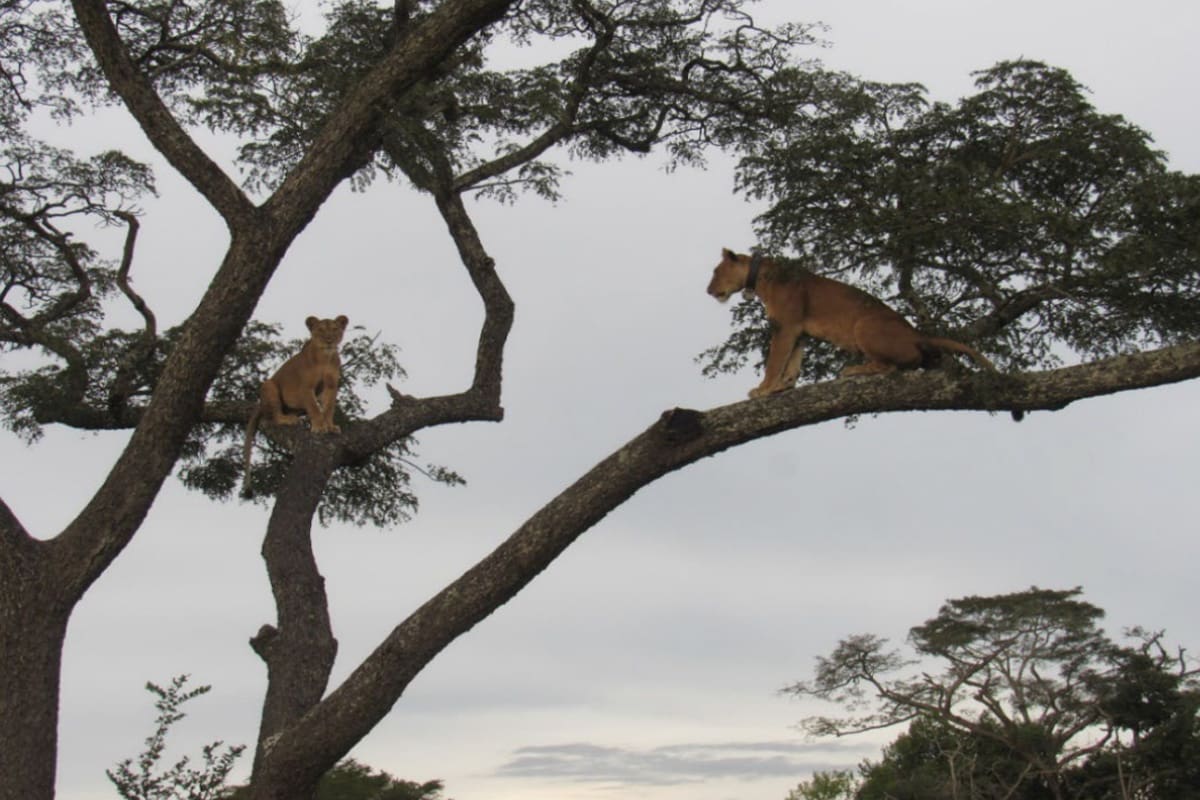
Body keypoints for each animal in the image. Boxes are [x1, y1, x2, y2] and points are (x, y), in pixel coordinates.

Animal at [241, 315, 348, 497]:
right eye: (320, 330)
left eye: (334, 330)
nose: (329, 340)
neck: (325, 357)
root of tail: (259, 403)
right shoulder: (306, 387)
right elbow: (314, 408)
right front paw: (319, 427)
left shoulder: (331, 386)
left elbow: (328, 408)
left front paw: (330, 426)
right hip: (269, 385)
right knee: (274, 416)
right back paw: (288, 419)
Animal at [707, 249, 995, 398]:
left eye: (715, 272)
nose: (708, 291)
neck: (761, 278)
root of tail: (915, 333)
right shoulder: (797, 330)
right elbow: (793, 361)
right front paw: (782, 386)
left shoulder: (786, 325)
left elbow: (776, 360)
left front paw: (764, 388)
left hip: (864, 326)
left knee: (891, 366)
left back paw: (855, 370)